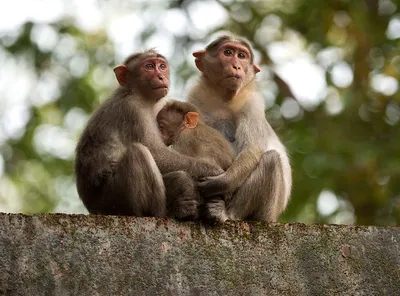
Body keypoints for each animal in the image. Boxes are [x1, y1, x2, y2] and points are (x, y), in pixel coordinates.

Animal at [74, 49, 222, 220]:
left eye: (162, 66)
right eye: (149, 66)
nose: (161, 76)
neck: (138, 94)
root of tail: (92, 207)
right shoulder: (133, 109)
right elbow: (156, 152)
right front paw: (212, 171)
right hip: (112, 200)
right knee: (139, 153)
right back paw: (159, 213)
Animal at [186, 34, 292, 222]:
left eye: (241, 56)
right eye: (228, 52)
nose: (236, 66)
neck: (224, 97)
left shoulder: (253, 103)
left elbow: (252, 150)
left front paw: (218, 183)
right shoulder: (195, 98)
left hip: (267, 211)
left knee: (271, 160)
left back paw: (227, 213)